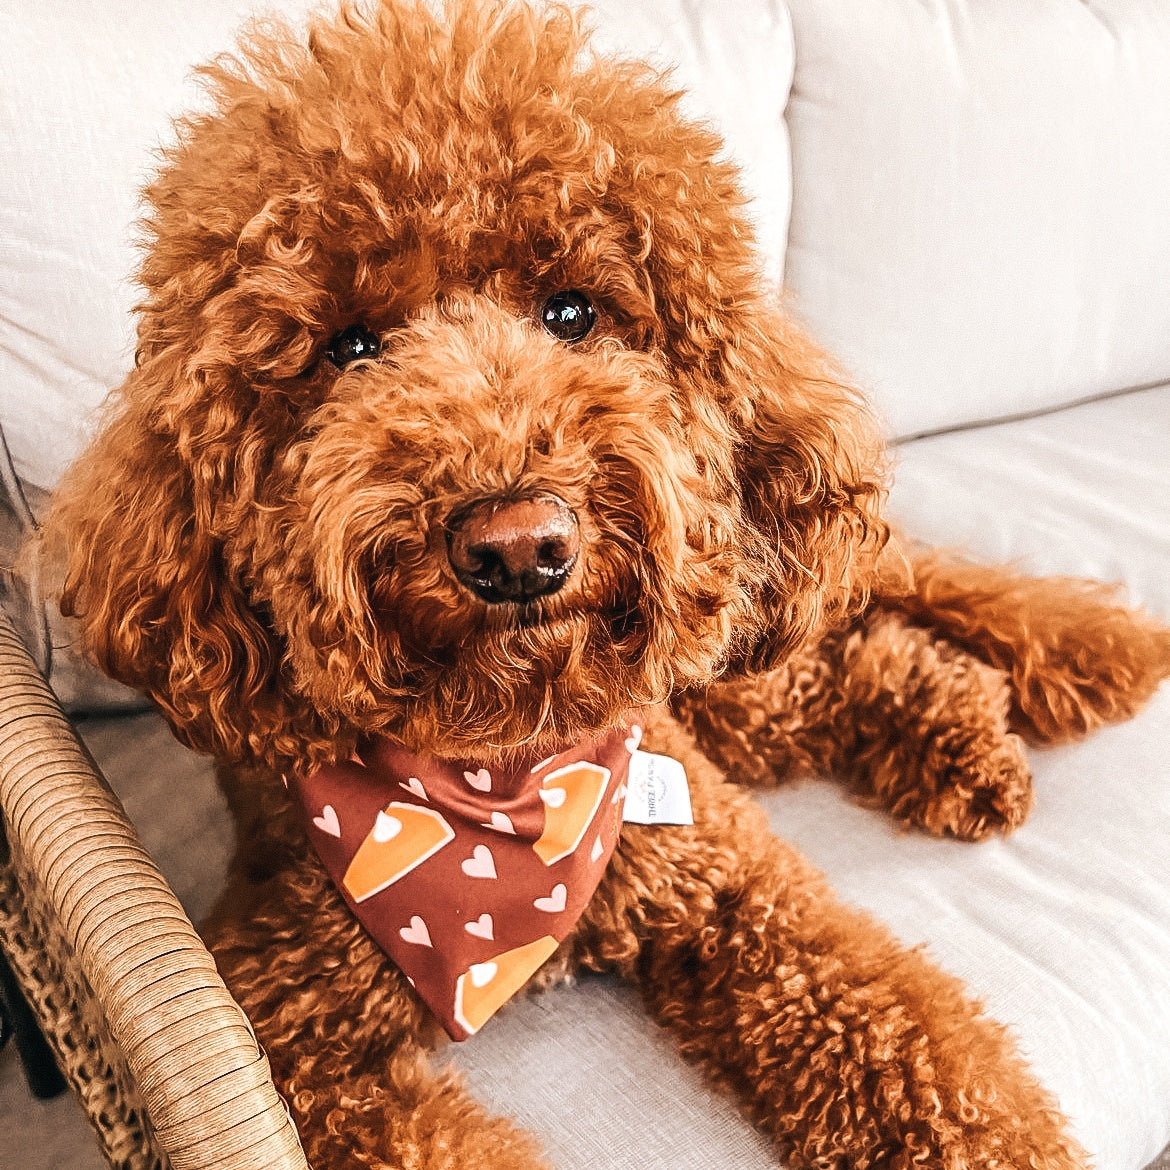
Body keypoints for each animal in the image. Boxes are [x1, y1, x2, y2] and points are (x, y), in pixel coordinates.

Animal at [47, 4, 1170, 1165]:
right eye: (349, 348)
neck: (510, 792)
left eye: (573, 312)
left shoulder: (733, 890)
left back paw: (1033, 693)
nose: (517, 546)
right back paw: (964, 742)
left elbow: (918, 1048)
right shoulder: (287, 1033)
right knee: (848, 663)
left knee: (852, 634)